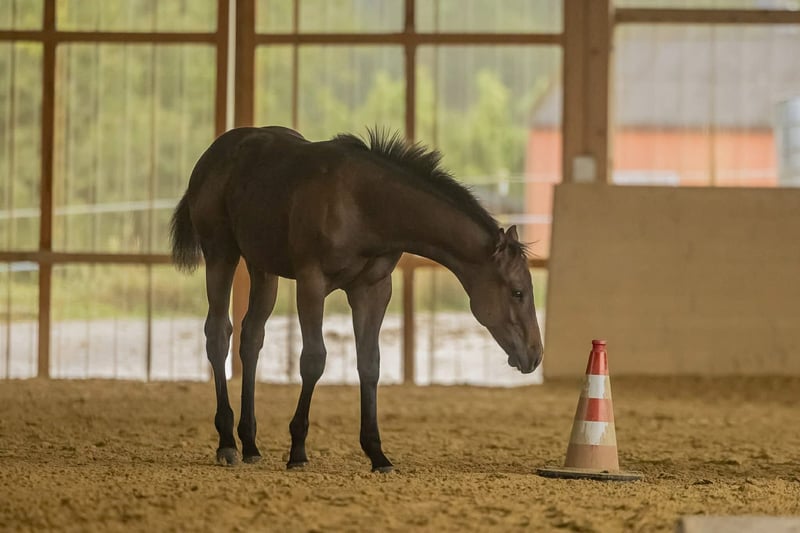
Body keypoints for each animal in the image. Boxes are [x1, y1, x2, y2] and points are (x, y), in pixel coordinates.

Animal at [170, 125, 544, 472]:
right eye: (518, 292)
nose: (535, 355)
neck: (364, 204)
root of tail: (213, 154)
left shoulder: (372, 289)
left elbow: (370, 363)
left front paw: (377, 454)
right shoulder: (311, 282)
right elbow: (314, 359)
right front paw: (298, 451)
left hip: (263, 269)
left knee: (251, 338)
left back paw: (250, 443)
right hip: (221, 254)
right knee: (218, 334)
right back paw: (227, 443)